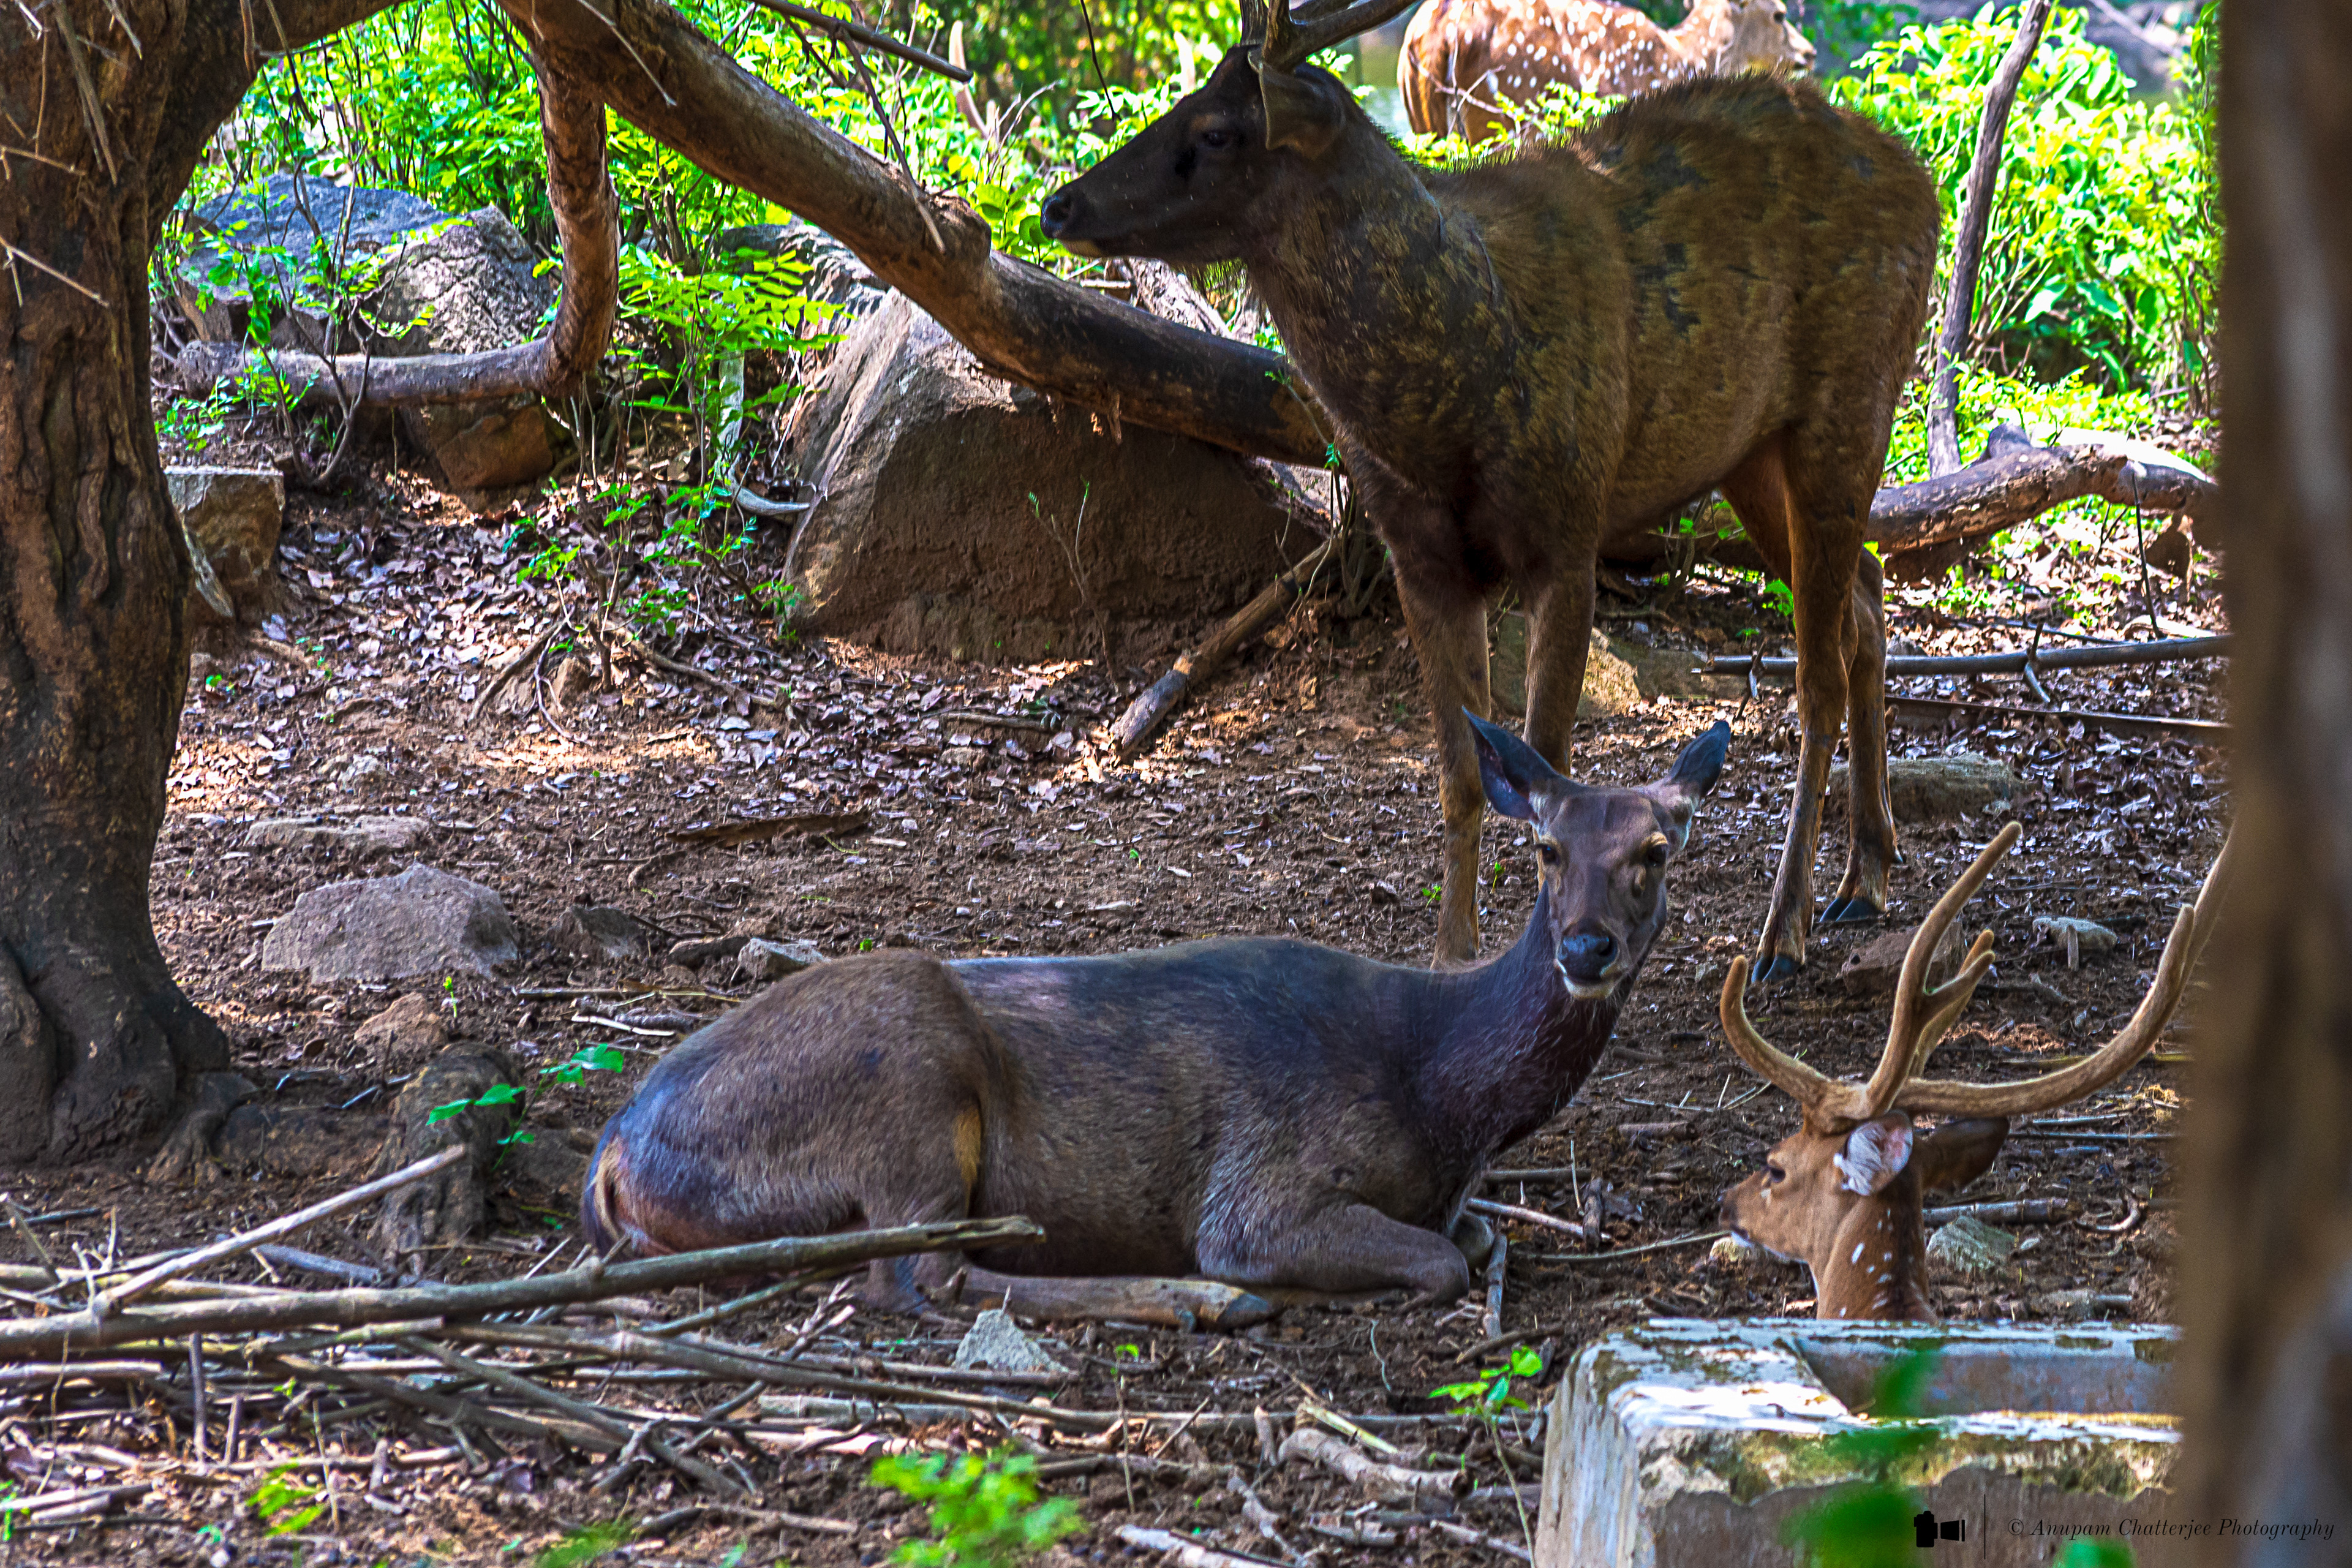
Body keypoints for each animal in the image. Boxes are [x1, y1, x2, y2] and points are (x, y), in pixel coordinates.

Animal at [582, 717, 1727, 1323]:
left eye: (1656, 852)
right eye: (1543, 849)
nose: (1586, 948)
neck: (1440, 1096)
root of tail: (613, 1155)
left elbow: (1482, 1238)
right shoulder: (1263, 1188)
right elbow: (1442, 1259)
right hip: (904, 1080)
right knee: (920, 1271)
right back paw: (1192, 1298)